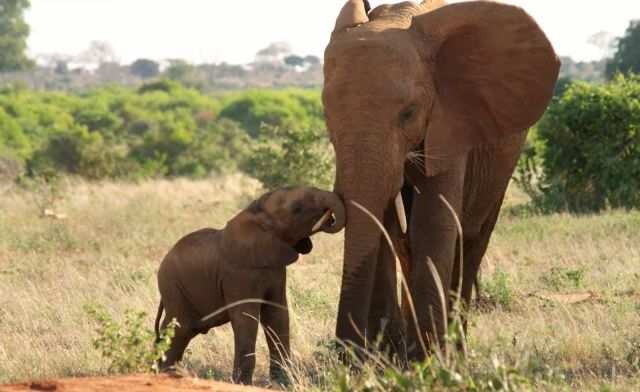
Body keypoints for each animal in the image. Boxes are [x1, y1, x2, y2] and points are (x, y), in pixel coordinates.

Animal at [154, 186, 344, 382]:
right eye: (297, 209)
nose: (329, 218)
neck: (256, 213)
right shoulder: (238, 274)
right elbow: (246, 316)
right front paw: (243, 383)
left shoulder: (275, 267)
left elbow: (277, 313)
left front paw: (282, 382)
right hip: (172, 286)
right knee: (179, 329)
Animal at [322, 0, 556, 360]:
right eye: (326, 113)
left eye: (409, 112)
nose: (346, 357)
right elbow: (386, 225)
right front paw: (387, 358)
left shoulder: (454, 121)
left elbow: (433, 221)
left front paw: (427, 360)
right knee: (407, 247)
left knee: (472, 242)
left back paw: (454, 352)